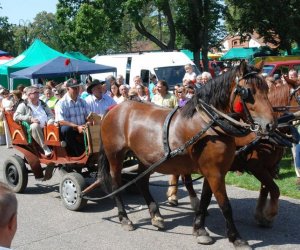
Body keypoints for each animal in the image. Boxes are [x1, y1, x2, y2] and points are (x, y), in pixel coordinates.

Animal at [97, 61, 276, 249]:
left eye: (266, 88)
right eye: (248, 92)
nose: (271, 124)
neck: (208, 125)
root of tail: (113, 109)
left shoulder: (212, 172)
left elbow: (205, 201)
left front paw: (199, 230)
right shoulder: (215, 173)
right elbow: (225, 205)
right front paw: (237, 238)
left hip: (146, 159)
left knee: (141, 182)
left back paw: (156, 216)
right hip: (115, 156)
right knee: (116, 184)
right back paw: (124, 218)